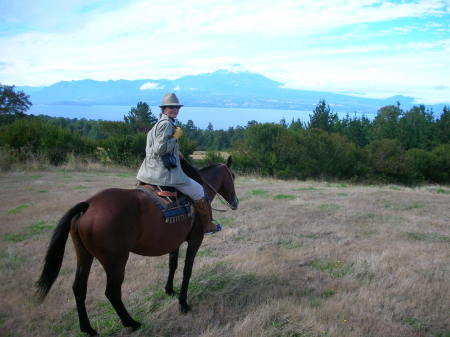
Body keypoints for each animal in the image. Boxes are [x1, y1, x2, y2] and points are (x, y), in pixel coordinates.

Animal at [35, 156, 239, 334]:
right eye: (233, 176)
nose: (236, 202)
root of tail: (87, 206)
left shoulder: (175, 242)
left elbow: (172, 265)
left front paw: (169, 290)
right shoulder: (195, 240)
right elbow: (187, 270)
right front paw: (183, 303)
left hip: (84, 255)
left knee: (79, 288)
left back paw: (89, 329)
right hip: (116, 262)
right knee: (112, 292)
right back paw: (131, 322)